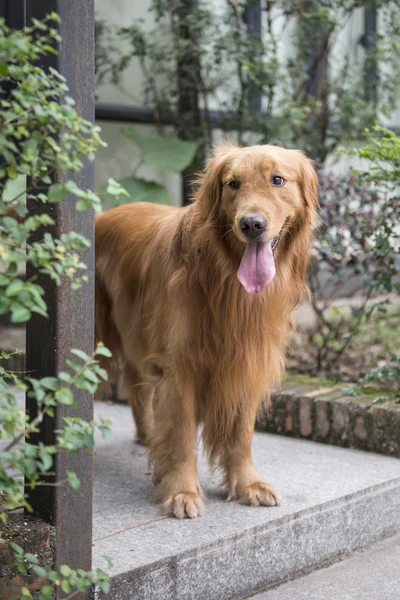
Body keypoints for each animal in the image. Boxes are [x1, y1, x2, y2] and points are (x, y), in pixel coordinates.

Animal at [94, 143, 318, 516]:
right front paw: (182, 491)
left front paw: (247, 484)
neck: (224, 279)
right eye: (233, 184)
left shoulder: (248, 361)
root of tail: (100, 216)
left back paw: (149, 437)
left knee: (137, 387)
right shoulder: (179, 365)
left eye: (278, 180)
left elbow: (241, 434)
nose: (251, 224)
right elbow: (183, 433)